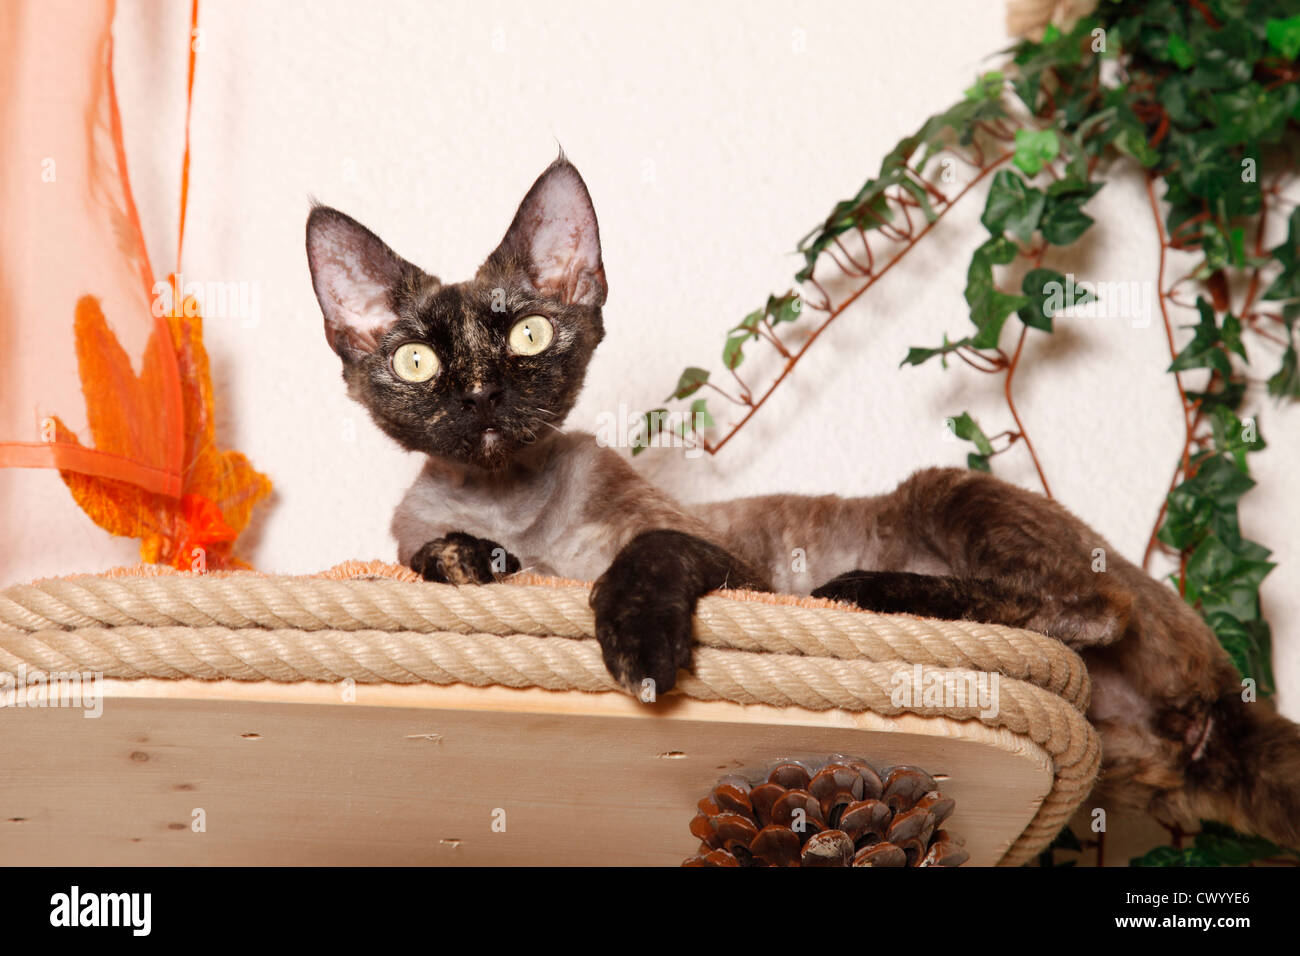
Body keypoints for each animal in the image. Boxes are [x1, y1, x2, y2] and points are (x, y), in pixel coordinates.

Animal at [309, 157, 1300, 853]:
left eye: (527, 334)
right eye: (417, 362)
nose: (480, 397)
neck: (513, 506)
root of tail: (1224, 706)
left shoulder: (726, 561)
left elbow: (645, 554)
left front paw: (637, 646)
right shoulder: (422, 541)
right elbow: (426, 556)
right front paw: (471, 562)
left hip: (946, 492)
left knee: (1091, 608)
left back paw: (869, 591)